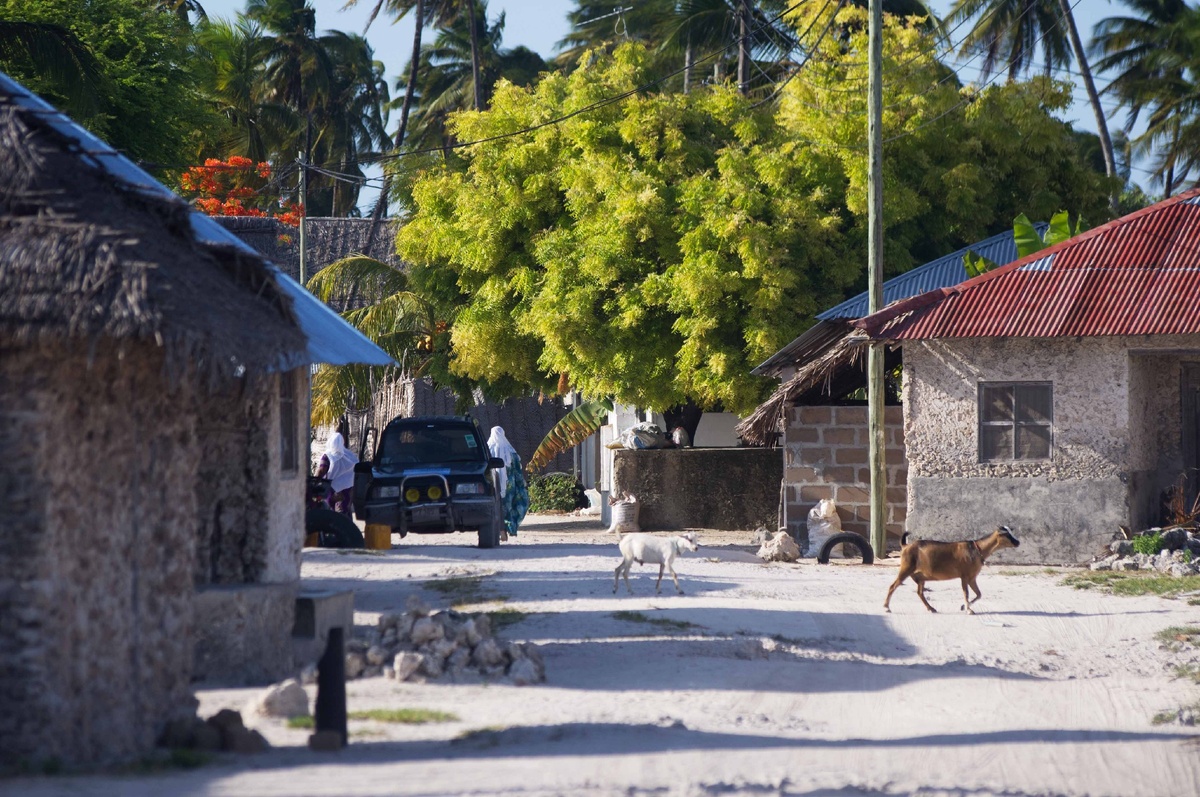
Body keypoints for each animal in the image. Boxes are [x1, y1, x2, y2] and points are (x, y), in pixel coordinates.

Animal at [883, 528, 1022, 614]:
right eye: (1007, 534)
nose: (1018, 542)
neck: (977, 549)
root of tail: (906, 546)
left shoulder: (972, 577)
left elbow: (979, 594)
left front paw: (963, 606)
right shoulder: (964, 576)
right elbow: (966, 593)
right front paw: (969, 610)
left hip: (920, 576)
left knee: (920, 592)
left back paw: (931, 608)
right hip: (906, 568)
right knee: (893, 586)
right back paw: (886, 607)